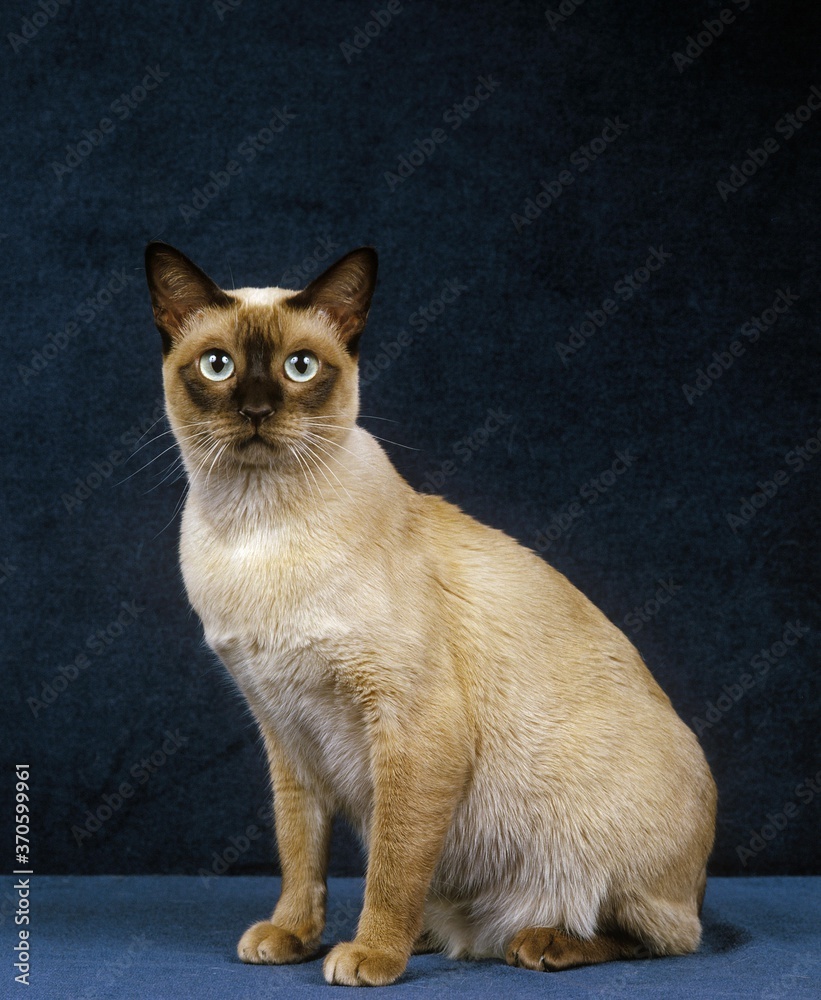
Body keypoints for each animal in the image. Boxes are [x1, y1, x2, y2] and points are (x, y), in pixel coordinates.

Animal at [144, 242, 716, 984]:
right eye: (219, 365)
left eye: (300, 367)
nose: (257, 410)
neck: (256, 530)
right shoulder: (285, 730)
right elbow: (300, 853)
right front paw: (293, 936)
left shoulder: (413, 728)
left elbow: (392, 866)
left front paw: (371, 955)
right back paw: (431, 937)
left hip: (603, 836)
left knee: (656, 934)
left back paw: (537, 942)